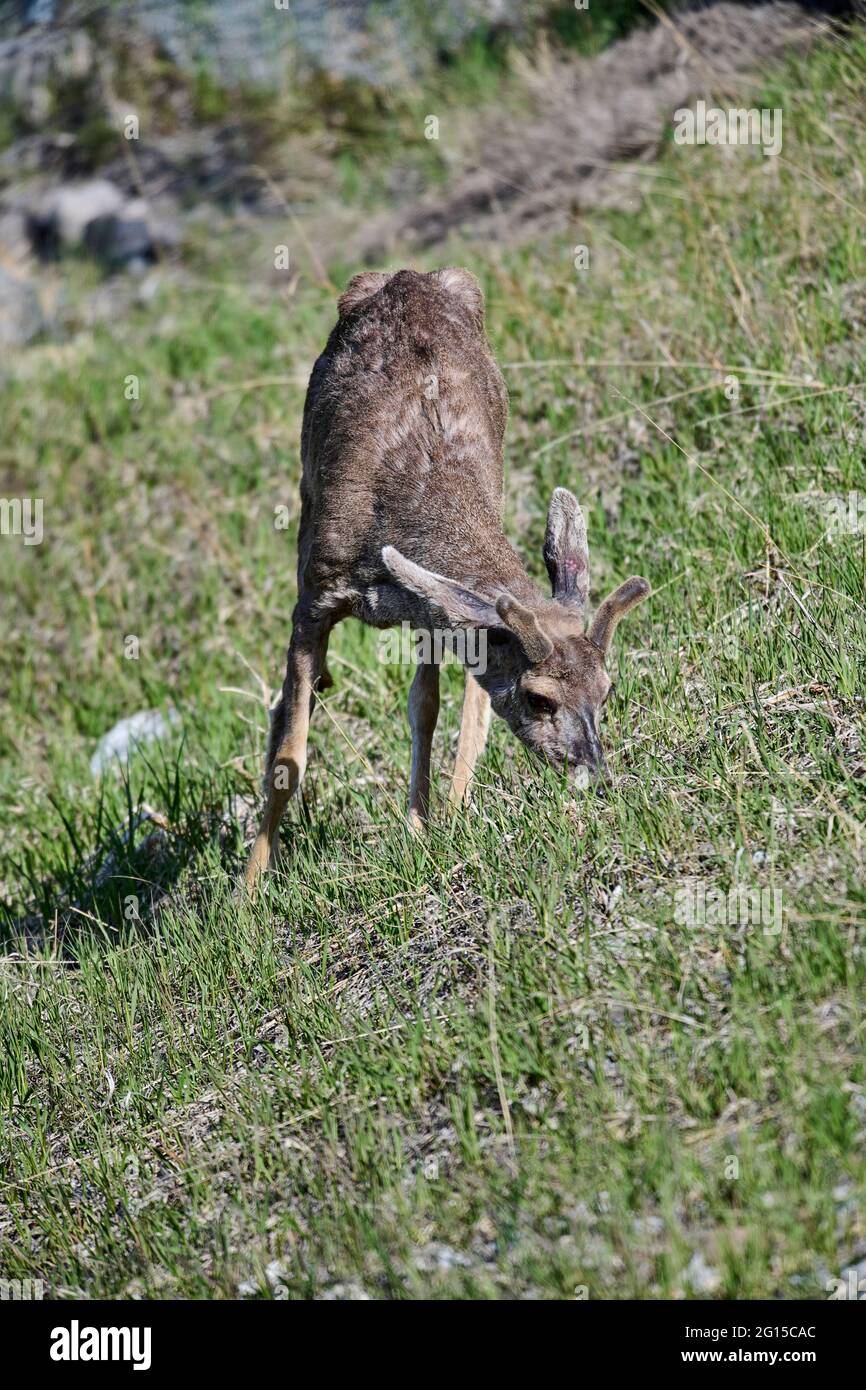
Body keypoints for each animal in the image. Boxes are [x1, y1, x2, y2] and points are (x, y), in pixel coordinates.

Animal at [244, 265, 650, 889]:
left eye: (608, 690)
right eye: (538, 699)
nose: (596, 773)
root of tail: (404, 275)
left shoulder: (431, 613)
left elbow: (431, 708)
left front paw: (424, 828)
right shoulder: (313, 596)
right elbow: (290, 753)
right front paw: (249, 889)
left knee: (453, 701)